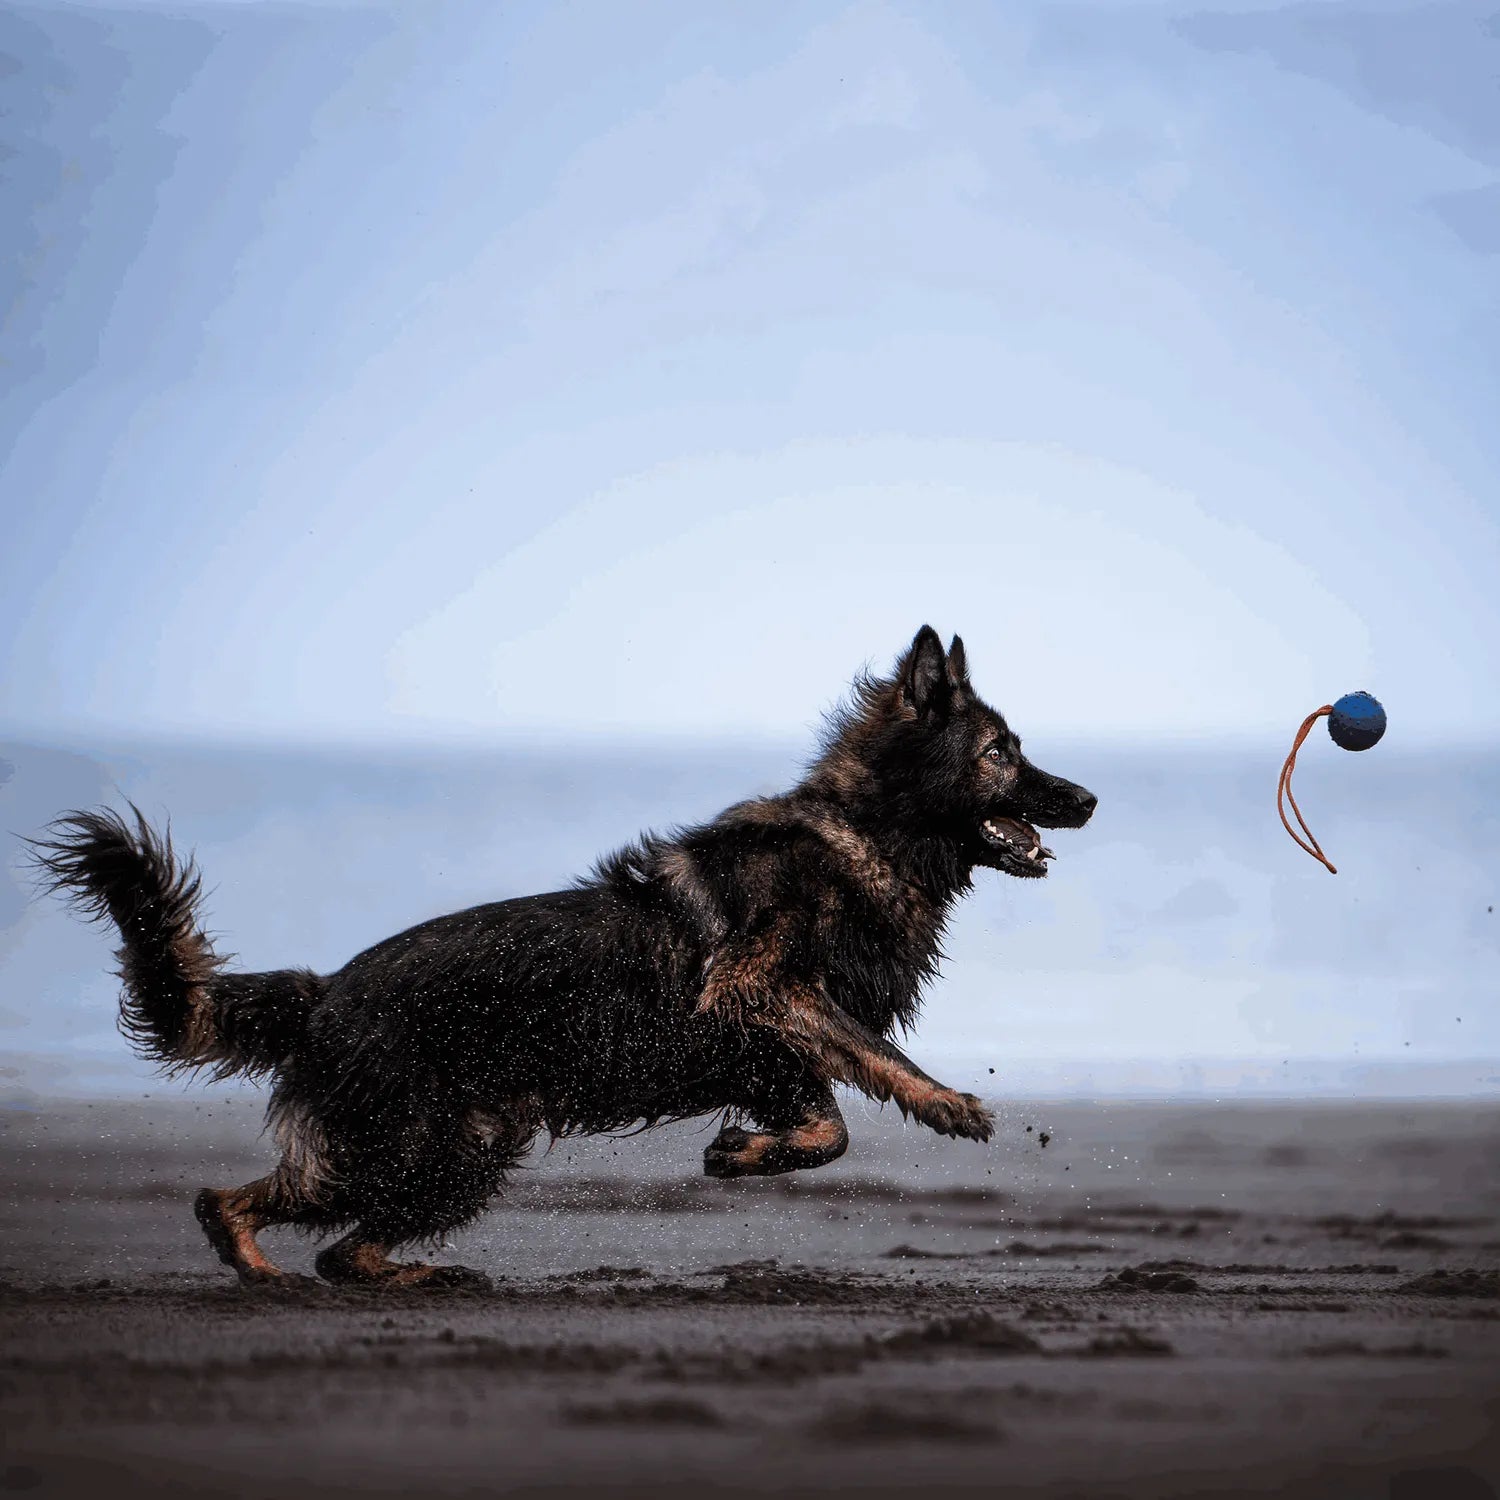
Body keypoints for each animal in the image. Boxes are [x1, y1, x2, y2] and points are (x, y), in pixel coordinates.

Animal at [32, 630, 1092, 1290]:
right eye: (1001, 752)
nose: (1086, 799)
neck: (866, 835)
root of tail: (328, 993)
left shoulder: (768, 1049)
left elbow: (824, 1129)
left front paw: (744, 1152)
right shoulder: (759, 990)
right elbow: (872, 1063)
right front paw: (947, 1104)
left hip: (453, 1150)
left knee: (300, 1232)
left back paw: (376, 1273)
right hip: (432, 1147)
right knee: (251, 1211)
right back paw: (284, 1273)